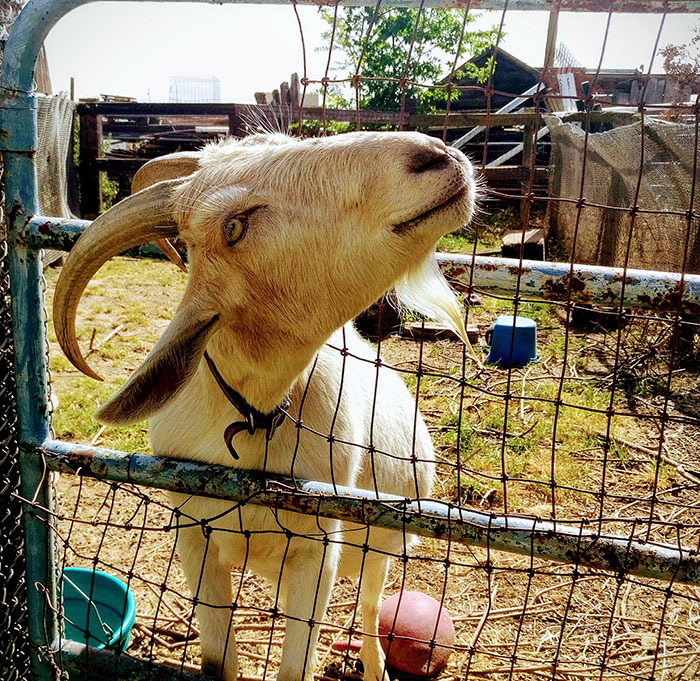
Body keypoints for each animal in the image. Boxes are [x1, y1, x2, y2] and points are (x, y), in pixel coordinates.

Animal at [53, 131, 477, 681]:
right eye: (235, 227)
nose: (435, 156)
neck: (253, 424)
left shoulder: (320, 548)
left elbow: (297, 665)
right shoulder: (195, 538)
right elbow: (218, 659)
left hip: (382, 543)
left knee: (369, 605)